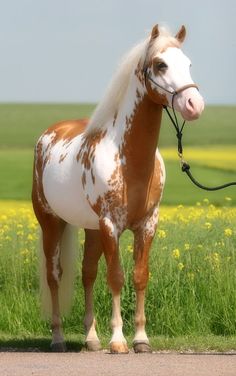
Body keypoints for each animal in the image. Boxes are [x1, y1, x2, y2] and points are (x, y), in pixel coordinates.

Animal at [31, 25, 205, 354]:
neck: (128, 160)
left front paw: (141, 339)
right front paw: (118, 340)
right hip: (52, 223)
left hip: (91, 229)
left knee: (87, 273)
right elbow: (115, 277)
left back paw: (91, 338)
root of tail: (49, 134)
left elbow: (139, 277)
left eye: (189, 63)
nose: (194, 105)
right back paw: (58, 337)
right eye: (160, 64)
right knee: (54, 275)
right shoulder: (111, 225)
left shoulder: (147, 225)